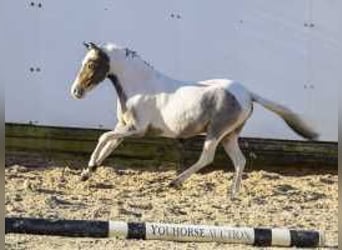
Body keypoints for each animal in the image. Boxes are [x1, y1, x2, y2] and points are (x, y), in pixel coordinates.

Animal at [70, 42, 318, 198]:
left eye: (91, 64)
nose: (76, 92)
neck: (140, 87)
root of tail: (247, 94)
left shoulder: (136, 130)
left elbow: (103, 137)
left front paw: (90, 167)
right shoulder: (123, 127)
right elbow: (108, 145)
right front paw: (87, 172)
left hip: (216, 132)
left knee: (207, 157)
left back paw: (175, 181)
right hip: (229, 136)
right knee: (240, 161)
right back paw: (233, 194)